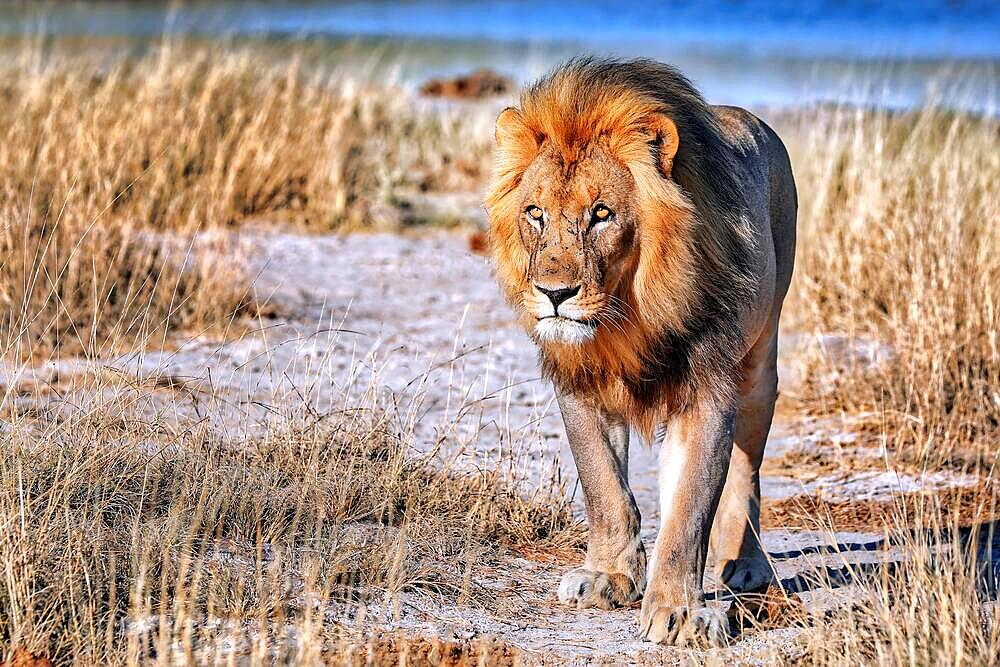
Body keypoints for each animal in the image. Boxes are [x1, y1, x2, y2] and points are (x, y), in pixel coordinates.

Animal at [484, 58, 796, 648]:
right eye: (535, 213)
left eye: (602, 213)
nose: (554, 294)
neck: (628, 317)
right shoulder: (580, 385)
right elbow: (605, 486)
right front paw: (610, 578)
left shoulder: (706, 392)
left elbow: (689, 509)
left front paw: (678, 611)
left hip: (760, 357)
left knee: (747, 468)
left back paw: (746, 565)